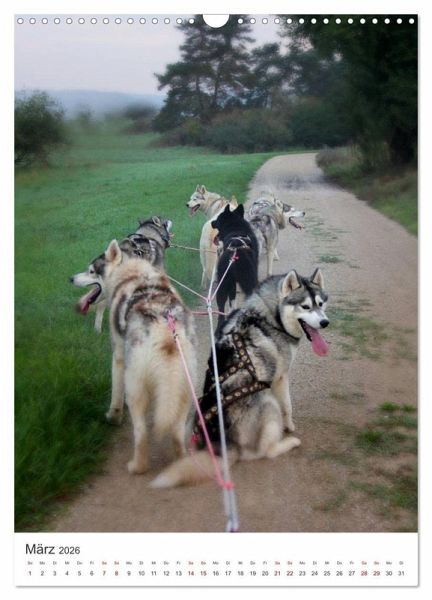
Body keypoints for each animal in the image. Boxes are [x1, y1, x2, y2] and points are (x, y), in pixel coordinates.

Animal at [86, 238, 196, 474]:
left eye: (91, 271)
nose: (71, 278)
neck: (131, 273)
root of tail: (166, 333)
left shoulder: (118, 356)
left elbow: (115, 396)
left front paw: (112, 416)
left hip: (134, 386)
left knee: (141, 432)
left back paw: (138, 465)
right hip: (186, 388)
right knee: (176, 431)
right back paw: (180, 458)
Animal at [150, 268, 330, 488]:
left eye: (321, 303)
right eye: (305, 306)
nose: (325, 322)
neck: (269, 316)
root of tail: (225, 444)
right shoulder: (281, 376)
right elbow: (287, 406)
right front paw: (290, 427)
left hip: (194, 412)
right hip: (268, 402)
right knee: (264, 452)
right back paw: (288, 443)